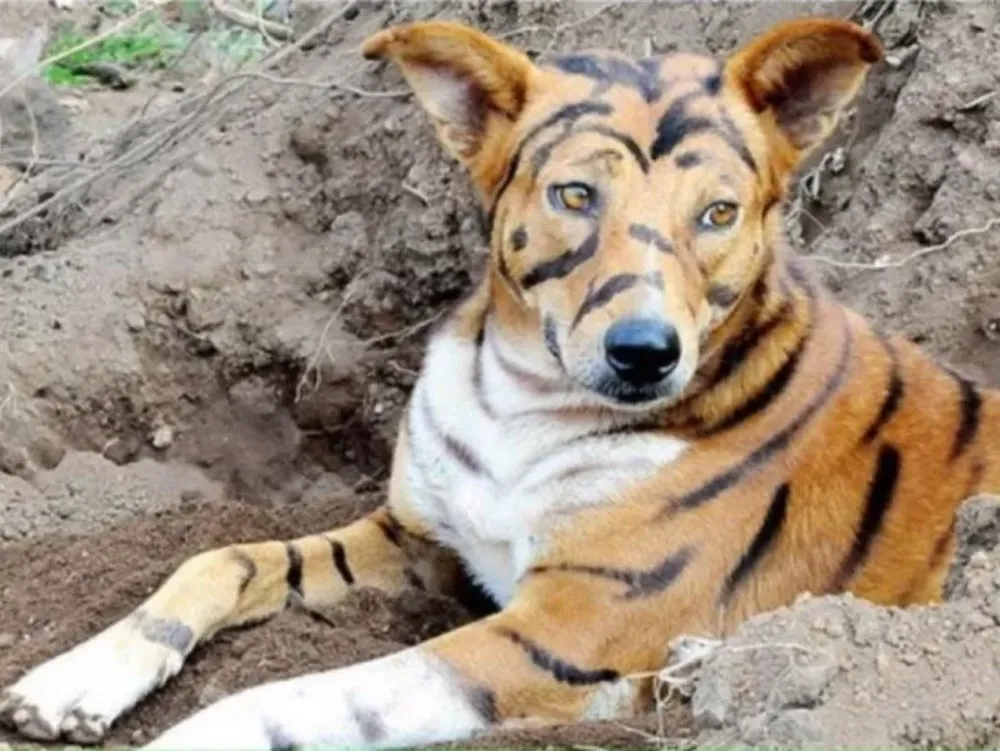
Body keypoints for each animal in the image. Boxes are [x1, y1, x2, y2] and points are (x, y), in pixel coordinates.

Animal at [2, 13, 998, 750]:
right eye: (575, 196)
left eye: (717, 213)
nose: (646, 351)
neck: (524, 401)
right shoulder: (419, 535)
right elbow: (223, 559)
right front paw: (79, 675)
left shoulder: (562, 633)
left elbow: (311, 691)